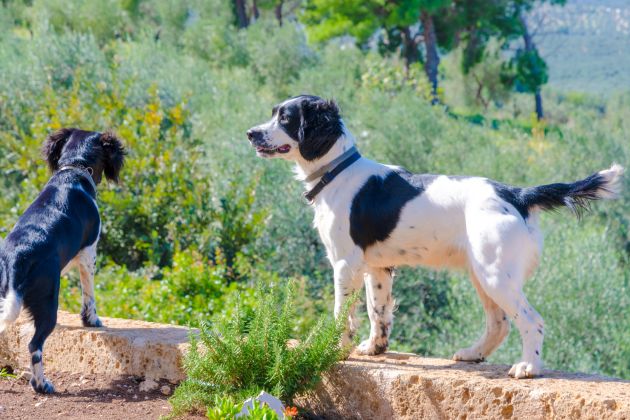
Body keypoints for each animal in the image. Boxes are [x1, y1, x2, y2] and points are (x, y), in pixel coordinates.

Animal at [0, 129, 124, 394]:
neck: (74, 169)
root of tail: (16, 259)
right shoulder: (89, 251)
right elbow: (89, 295)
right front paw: (92, 321)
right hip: (48, 302)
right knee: (35, 345)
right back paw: (42, 384)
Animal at [248, 95, 628, 378]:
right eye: (273, 114)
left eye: (285, 118)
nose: (251, 133)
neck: (338, 171)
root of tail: (516, 194)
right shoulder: (378, 267)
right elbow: (377, 310)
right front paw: (374, 348)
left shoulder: (345, 262)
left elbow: (343, 312)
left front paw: (333, 348)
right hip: (483, 274)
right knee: (499, 323)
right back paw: (473, 353)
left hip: (495, 275)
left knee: (531, 321)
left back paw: (528, 367)